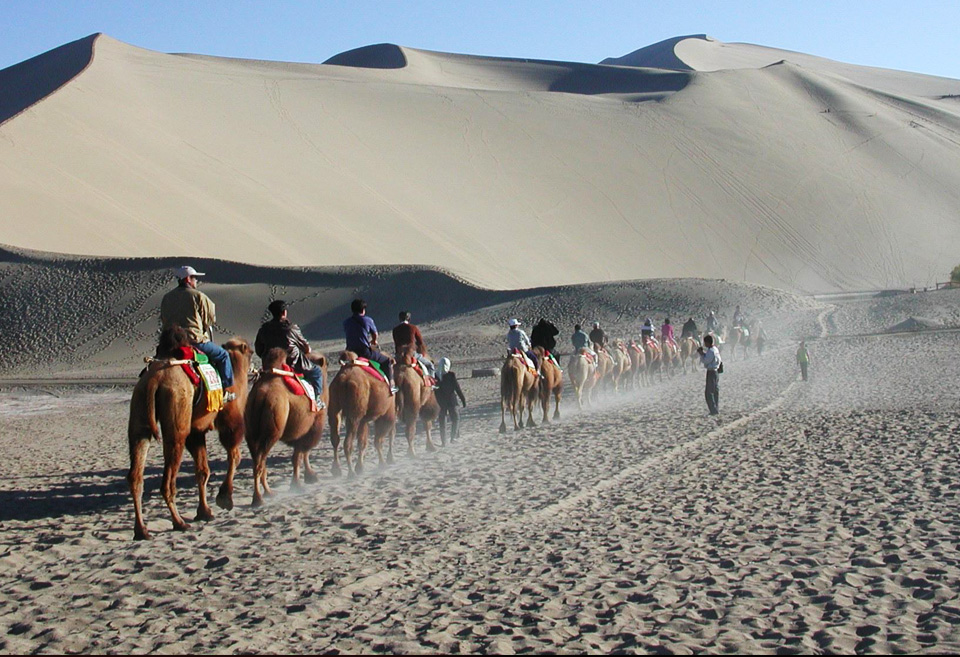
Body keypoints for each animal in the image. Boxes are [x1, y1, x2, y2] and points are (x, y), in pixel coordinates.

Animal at [126, 326, 251, 540]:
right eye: (250, 351)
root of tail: (154, 381)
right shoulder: (229, 419)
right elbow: (234, 456)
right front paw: (224, 498)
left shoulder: (196, 432)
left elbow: (202, 471)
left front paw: (205, 512)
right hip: (177, 415)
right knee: (167, 482)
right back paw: (179, 523)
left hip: (140, 413)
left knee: (136, 476)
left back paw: (141, 530)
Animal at [246, 348, 328, 508]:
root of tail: (260, 397)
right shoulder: (311, 427)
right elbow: (302, 453)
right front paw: (305, 480)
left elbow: (298, 455)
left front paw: (300, 481)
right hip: (271, 433)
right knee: (259, 464)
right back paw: (258, 499)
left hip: (251, 434)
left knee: (259, 462)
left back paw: (268, 493)